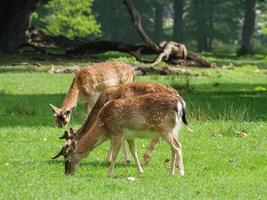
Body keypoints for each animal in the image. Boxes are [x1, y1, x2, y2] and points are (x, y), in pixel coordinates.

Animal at [51, 81, 182, 164]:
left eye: (67, 147)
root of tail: (179, 97)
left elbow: (115, 140)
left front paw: (112, 159)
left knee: (159, 139)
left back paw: (145, 159)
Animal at [56, 93, 187, 177]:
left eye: (67, 160)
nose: (67, 173)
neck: (104, 126)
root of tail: (180, 104)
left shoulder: (118, 133)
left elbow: (114, 155)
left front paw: (109, 174)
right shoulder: (130, 136)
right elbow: (134, 152)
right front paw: (140, 172)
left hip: (165, 128)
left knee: (177, 147)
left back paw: (181, 173)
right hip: (174, 129)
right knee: (175, 146)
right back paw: (171, 173)